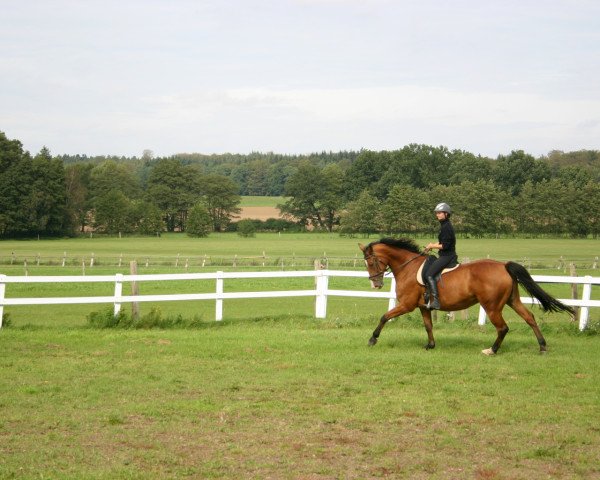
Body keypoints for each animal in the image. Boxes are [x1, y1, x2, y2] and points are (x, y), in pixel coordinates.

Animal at [358, 238, 576, 354]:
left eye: (372, 261)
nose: (376, 284)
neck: (408, 267)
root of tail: (503, 266)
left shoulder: (407, 304)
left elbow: (384, 317)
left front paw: (372, 339)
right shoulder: (422, 306)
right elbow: (428, 325)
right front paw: (430, 345)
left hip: (492, 306)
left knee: (503, 327)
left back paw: (492, 350)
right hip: (512, 301)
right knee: (529, 318)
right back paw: (542, 346)